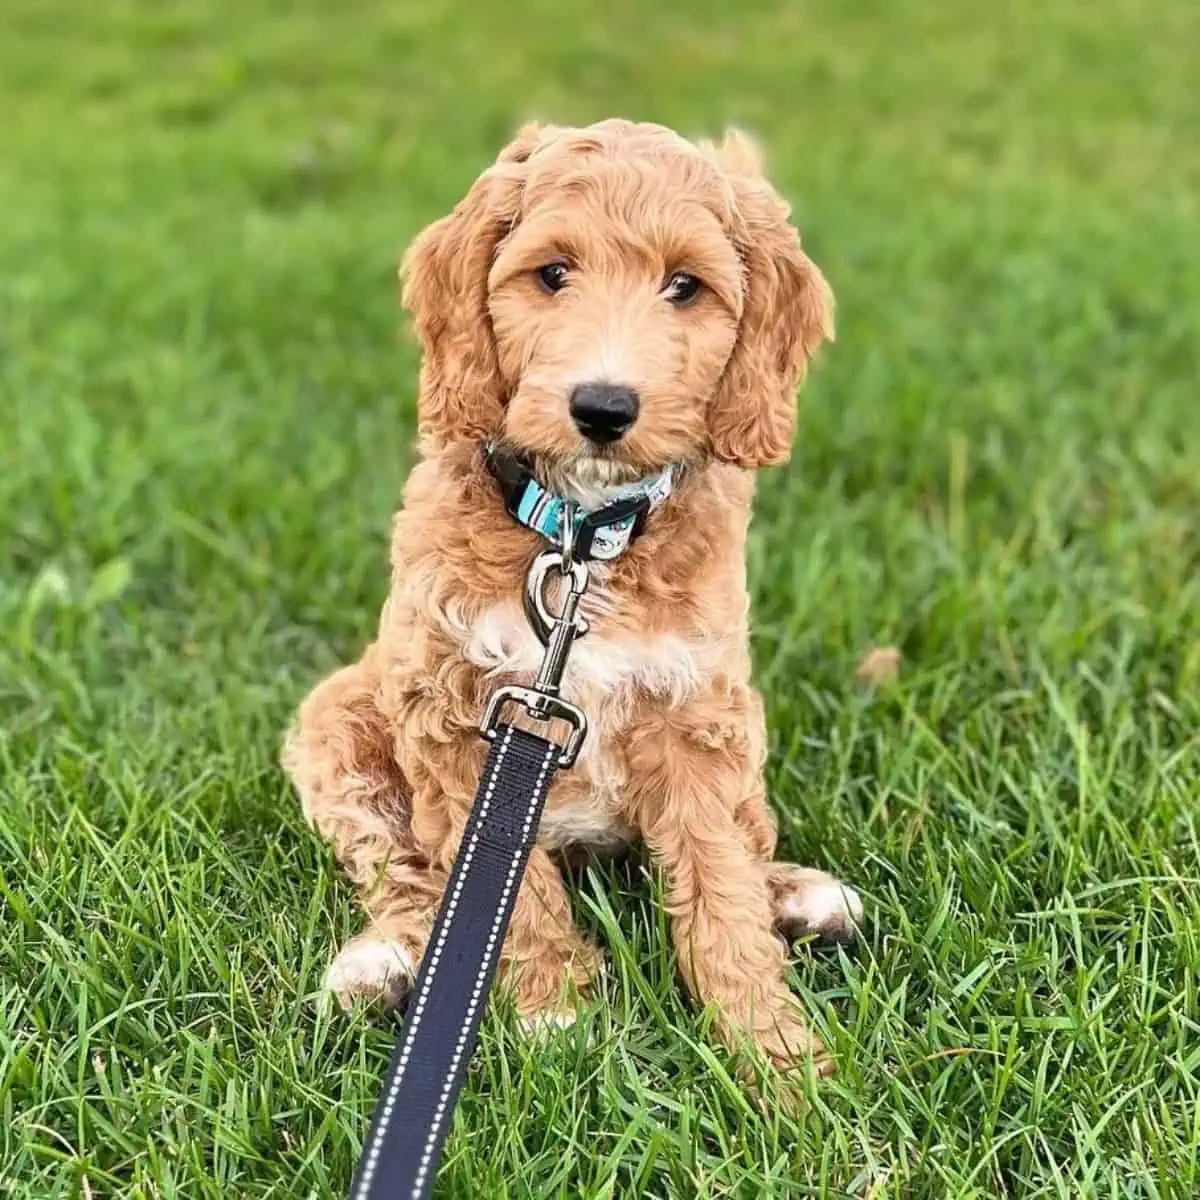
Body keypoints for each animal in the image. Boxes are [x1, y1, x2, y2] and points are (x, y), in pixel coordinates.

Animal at [283, 119, 864, 1080]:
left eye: (685, 286)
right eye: (552, 273)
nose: (602, 406)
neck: (580, 538)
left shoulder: (695, 712)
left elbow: (720, 888)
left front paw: (775, 1056)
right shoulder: (455, 714)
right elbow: (501, 889)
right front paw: (552, 1008)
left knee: (742, 845)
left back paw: (800, 898)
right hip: (337, 721)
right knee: (406, 875)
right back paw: (382, 965)